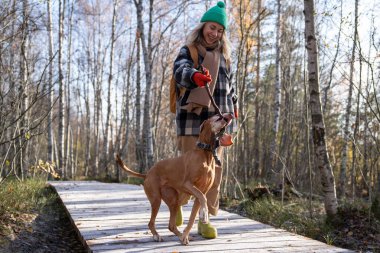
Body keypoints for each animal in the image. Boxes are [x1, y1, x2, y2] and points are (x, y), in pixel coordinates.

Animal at [116, 113, 233, 245]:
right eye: (218, 117)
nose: (230, 115)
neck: (205, 153)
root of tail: (147, 174)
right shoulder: (188, 184)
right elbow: (203, 198)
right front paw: (203, 215)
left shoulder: (200, 193)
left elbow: (193, 216)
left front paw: (186, 235)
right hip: (156, 199)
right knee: (151, 222)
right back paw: (156, 236)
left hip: (174, 201)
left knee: (171, 225)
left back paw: (180, 235)